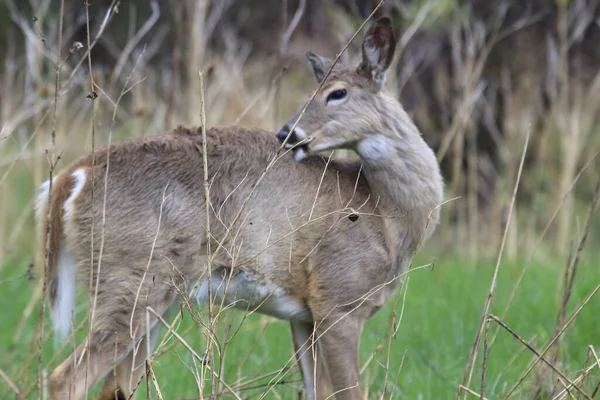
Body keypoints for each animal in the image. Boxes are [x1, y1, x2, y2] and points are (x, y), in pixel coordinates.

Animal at [36, 17, 440, 400]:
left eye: (338, 92)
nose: (287, 134)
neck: (386, 215)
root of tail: (72, 177)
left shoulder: (305, 315)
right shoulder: (338, 300)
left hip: (158, 298)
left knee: (114, 385)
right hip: (130, 277)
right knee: (65, 377)